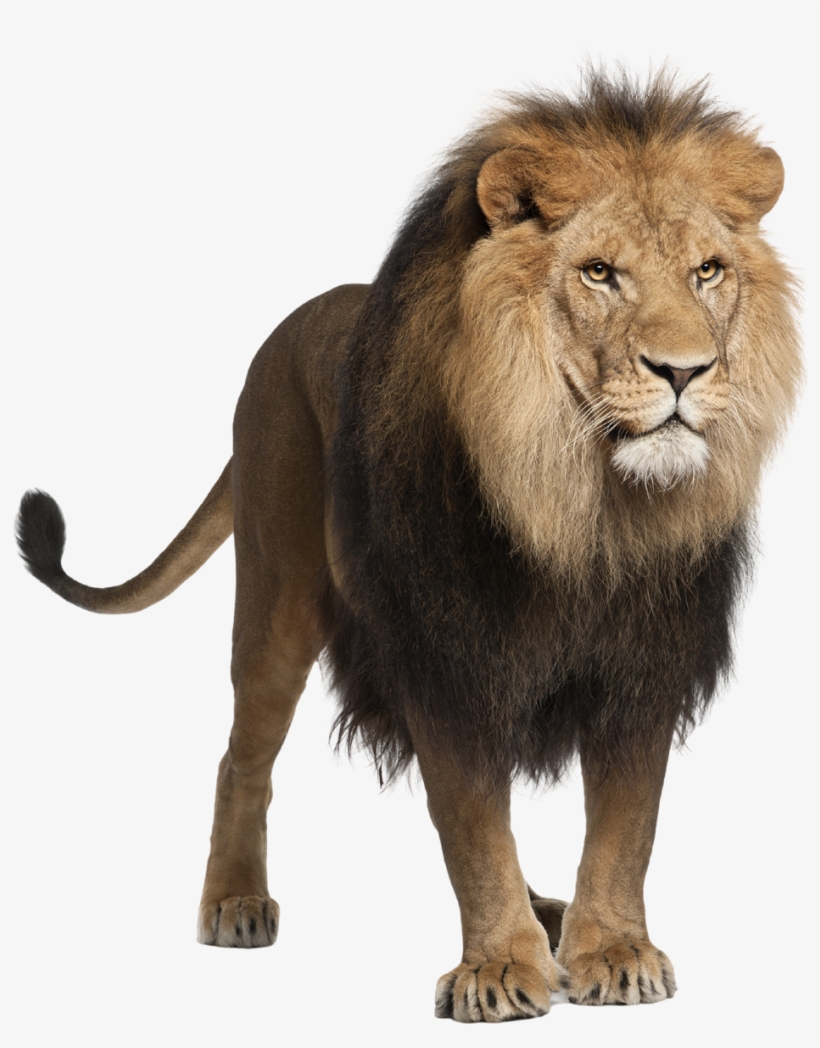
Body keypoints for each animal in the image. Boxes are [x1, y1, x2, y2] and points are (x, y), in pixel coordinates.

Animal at [17, 71, 801, 1023]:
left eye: (707, 271)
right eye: (599, 273)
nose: (685, 372)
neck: (582, 505)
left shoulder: (643, 663)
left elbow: (626, 825)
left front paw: (611, 950)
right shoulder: (444, 654)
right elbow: (471, 825)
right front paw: (498, 968)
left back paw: (552, 914)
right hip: (276, 597)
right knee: (242, 756)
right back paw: (236, 901)